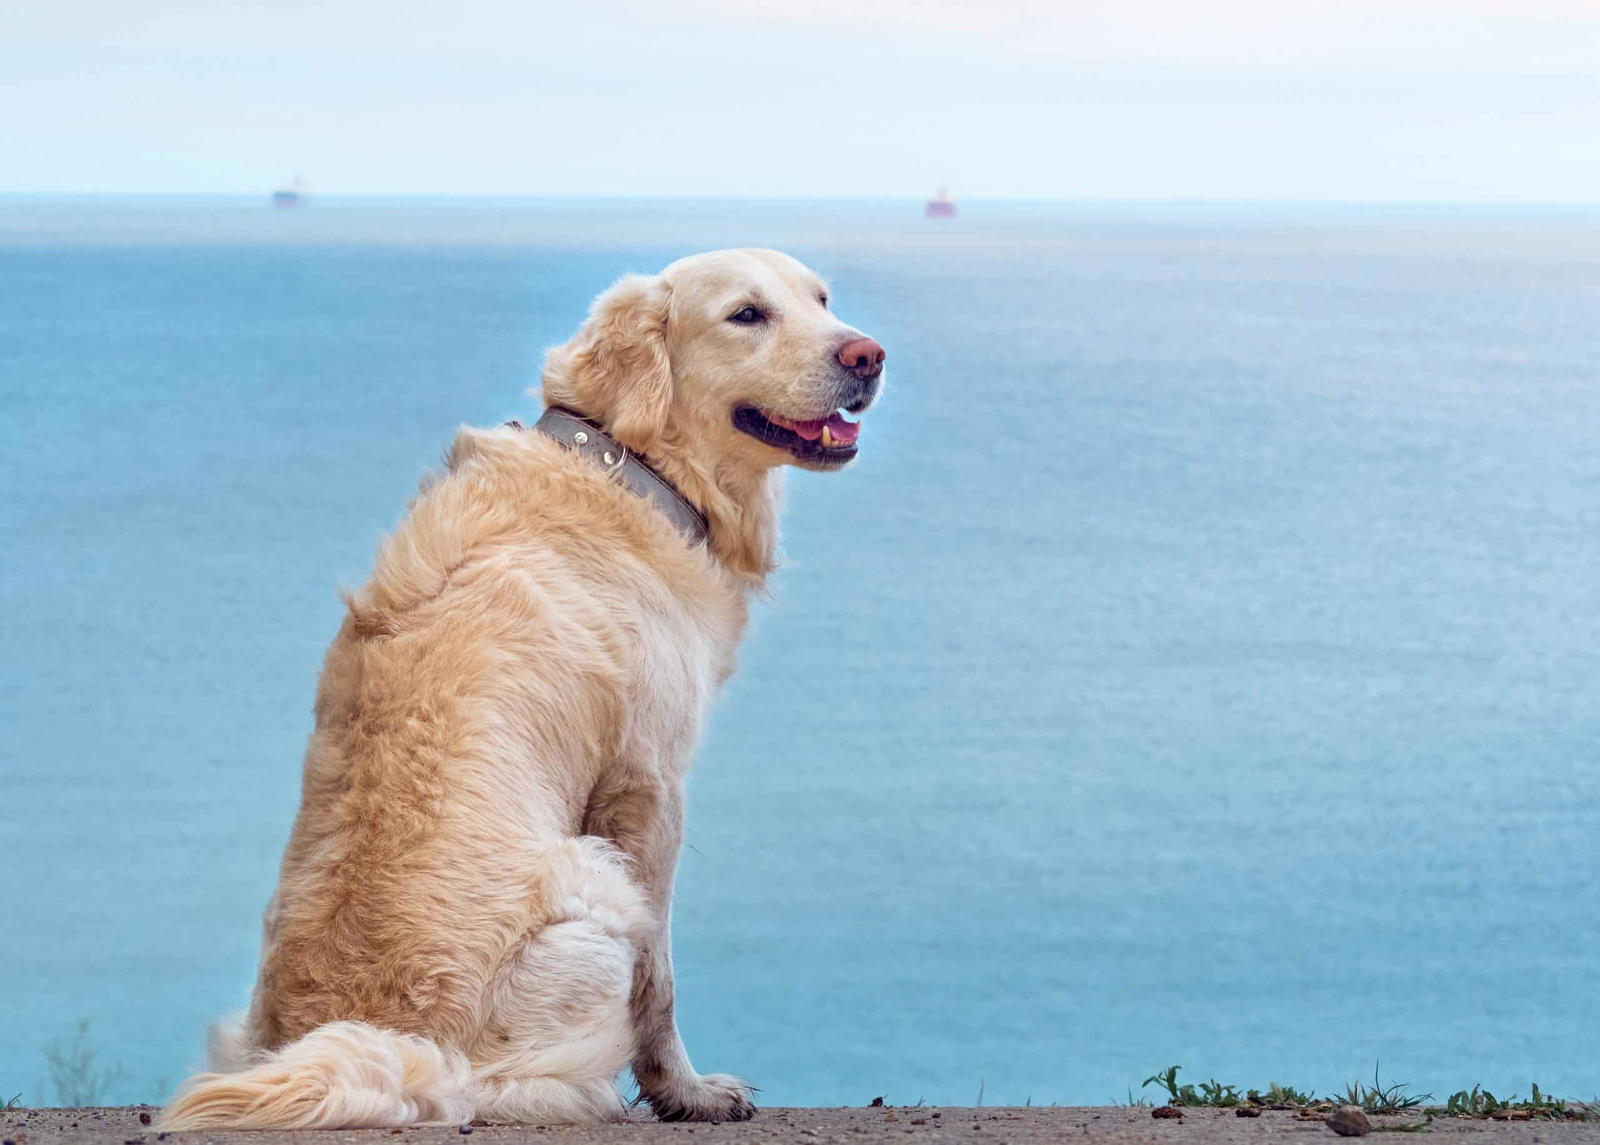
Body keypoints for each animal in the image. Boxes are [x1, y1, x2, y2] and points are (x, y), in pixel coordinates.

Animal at [159, 246, 889, 1132]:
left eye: (822, 298)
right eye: (746, 314)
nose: (867, 355)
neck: (630, 466)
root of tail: (397, 1047)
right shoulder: (648, 789)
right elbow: (659, 981)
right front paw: (686, 1091)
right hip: (594, 894)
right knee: (507, 1087)